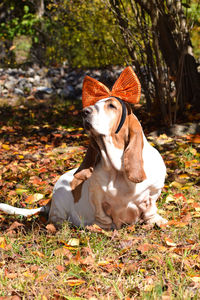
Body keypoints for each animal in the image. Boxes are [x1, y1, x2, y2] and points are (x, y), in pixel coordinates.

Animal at [0, 67, 167, 229]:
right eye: (94, 104)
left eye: (112, 105)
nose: (84, 112)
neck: (117, 169)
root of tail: (49, 202)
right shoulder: (96, 195)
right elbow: (102, 215)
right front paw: (100, 228)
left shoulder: (153, 192)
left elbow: (150, 209)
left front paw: (156, 221)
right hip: (60, 195)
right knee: (54, 218)